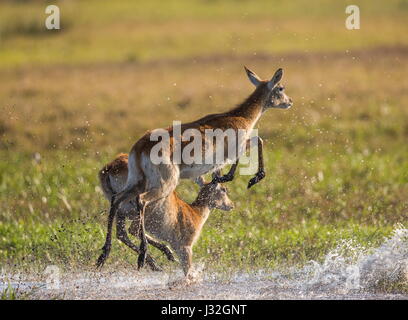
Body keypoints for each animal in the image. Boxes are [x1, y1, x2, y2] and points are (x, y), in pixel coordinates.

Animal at [97, 153, 234, 278]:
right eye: (224, 189)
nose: (231, 205)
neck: (195, 212)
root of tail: (110, 167)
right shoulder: (186, 248)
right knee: (133, 228)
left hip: (121, 210)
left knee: (121, 231)